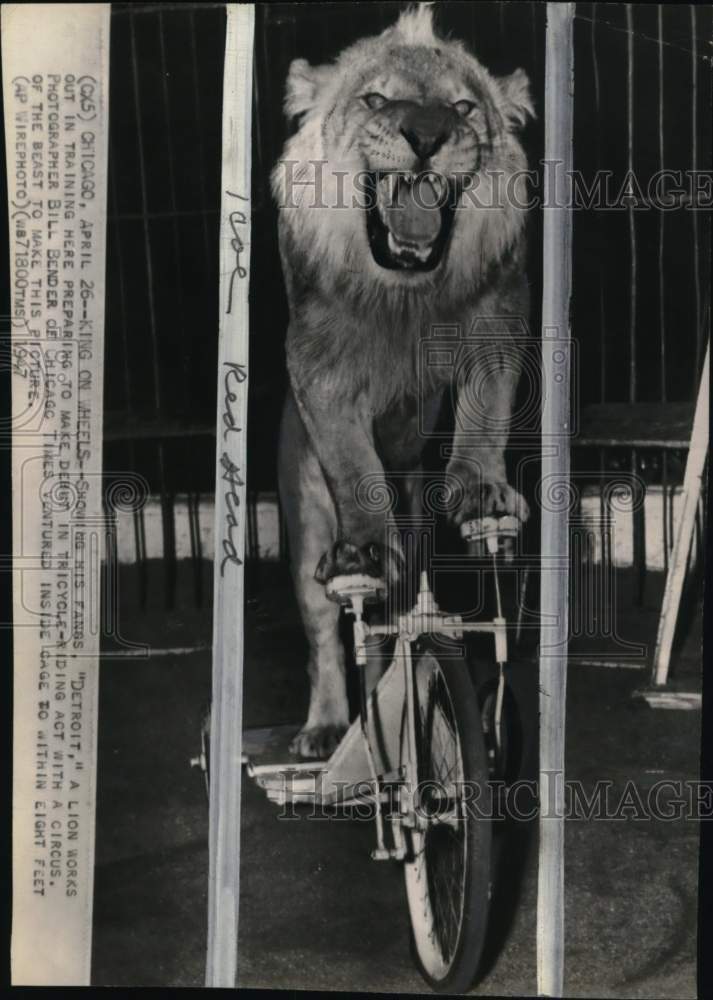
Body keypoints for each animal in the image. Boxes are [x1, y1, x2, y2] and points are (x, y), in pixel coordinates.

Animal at [272, 1, 536, 756]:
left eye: (462, 107)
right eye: (376, 100)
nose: (426, 135)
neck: (406, 295)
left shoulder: (495, 326)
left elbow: (483, 416)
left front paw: (480, 489)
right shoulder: (319, 366)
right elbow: (352, 464)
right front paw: (366, 538)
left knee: (394, 630)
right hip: (305, 521)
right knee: (327, 634)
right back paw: (328, 727)